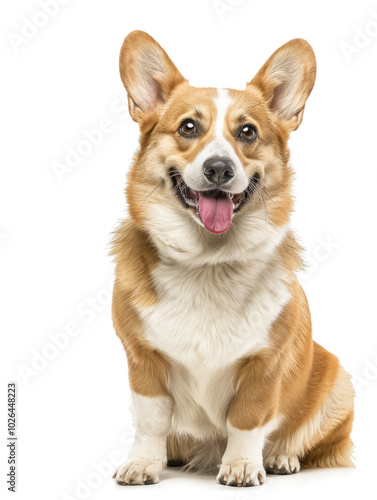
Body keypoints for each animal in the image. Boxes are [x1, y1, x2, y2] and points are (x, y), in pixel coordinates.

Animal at [111, 29, 352, 486]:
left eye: (247, 132)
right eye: (188, 127)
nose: (219, 169)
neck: (208, 264)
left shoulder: (265, 365)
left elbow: (248, 418)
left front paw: (241, 466)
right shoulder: (142, 360)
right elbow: (151, 420)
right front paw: (143, 464)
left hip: (337, 382)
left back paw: (280, 458)